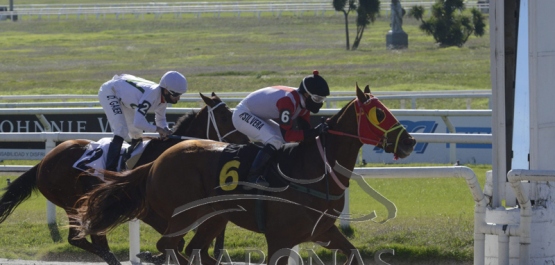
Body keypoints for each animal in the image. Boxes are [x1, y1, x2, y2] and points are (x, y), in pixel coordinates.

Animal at [0, 91, 249, 264]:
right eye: (225, 116)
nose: (247, 142)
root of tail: (44, 161)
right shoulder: (149, 211)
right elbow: (177, 241)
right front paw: (152, 255)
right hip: (72, 202)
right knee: (81, 239)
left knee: (94, 238)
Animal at [75, 84, 416, 264]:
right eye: (379, 113)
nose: (410, 142)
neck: (313, 170)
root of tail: (156, 161)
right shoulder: (280, 237)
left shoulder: (324, 232)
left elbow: (354, 253)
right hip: (183, 213)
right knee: (170, 246)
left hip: (212, 217)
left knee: (191, 248)